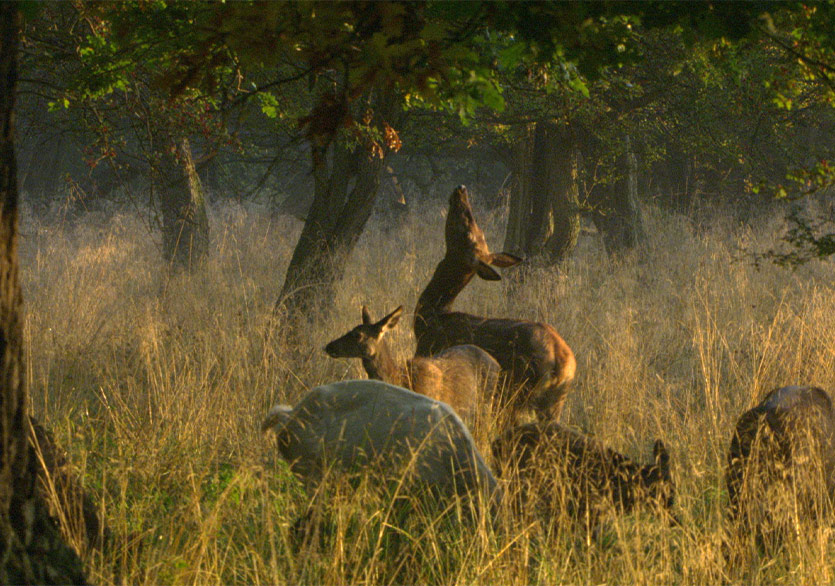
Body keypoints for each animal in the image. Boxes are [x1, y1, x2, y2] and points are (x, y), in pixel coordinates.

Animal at [416, 185, 580, 422]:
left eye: (467, 232)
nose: (461, 190)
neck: (430, 317)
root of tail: (562, 363)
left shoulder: (429, 354)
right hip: (553, 403)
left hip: (517, 393)